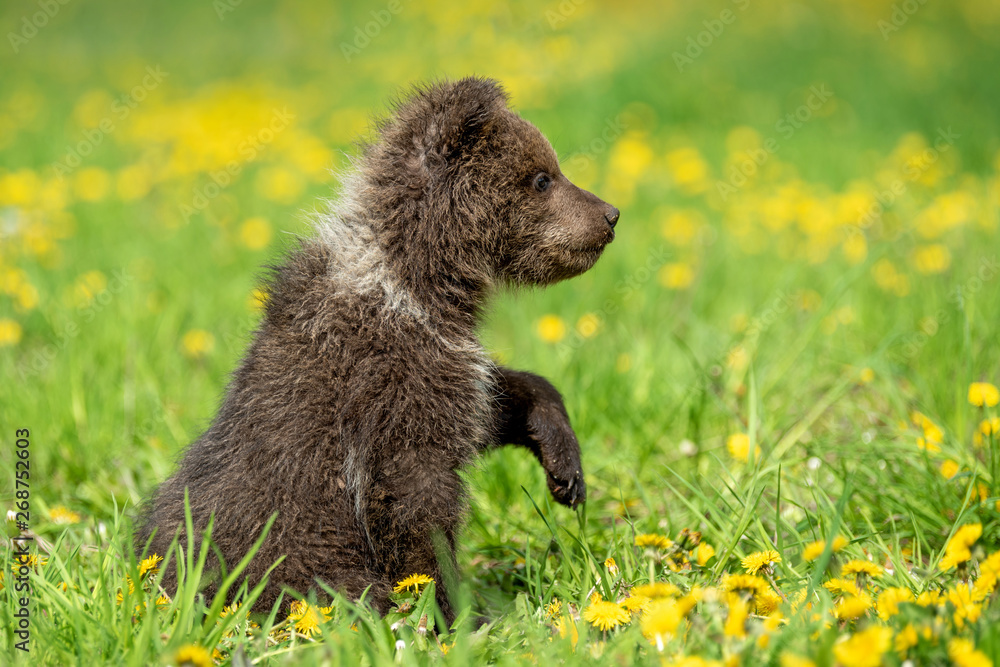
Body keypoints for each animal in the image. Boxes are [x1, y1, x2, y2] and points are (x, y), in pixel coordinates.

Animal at [136, 76, 619, 622]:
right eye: (541, 177)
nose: (610, 215)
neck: (416, 283)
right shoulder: (386, 387)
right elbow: (415, 503)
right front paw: (455, 611)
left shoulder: (444, 367)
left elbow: (496, 399)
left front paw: (565, 468)